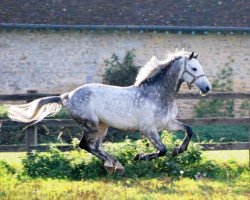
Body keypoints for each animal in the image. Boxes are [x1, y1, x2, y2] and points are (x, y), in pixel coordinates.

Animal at [8, 51, 211, 173]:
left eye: (200, 67)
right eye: (194, 68)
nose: (207, 88)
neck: (158, 94)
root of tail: (68, 95)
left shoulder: (168, 124)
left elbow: (188, 130)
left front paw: (179, 150)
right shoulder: (148, 130)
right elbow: (161, 150)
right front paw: (140, 156)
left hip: (102, 126)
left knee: (96, 146)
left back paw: (113, 163)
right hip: (90, 125)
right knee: (86, 145)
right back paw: (114, 164)